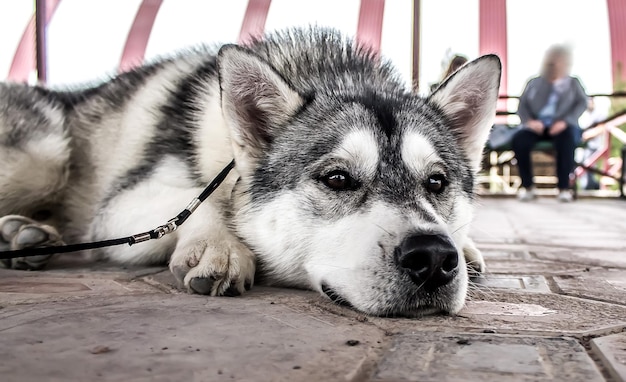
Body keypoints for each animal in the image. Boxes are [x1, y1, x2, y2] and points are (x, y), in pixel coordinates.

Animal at [0, 28, 498, 316]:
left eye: (436, 182)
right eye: (337, 178)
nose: (433, 257)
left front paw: (467, 247)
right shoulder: (122, 203)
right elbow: (204, 198)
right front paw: (219, 245)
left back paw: (25, 235)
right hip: (44, 154)